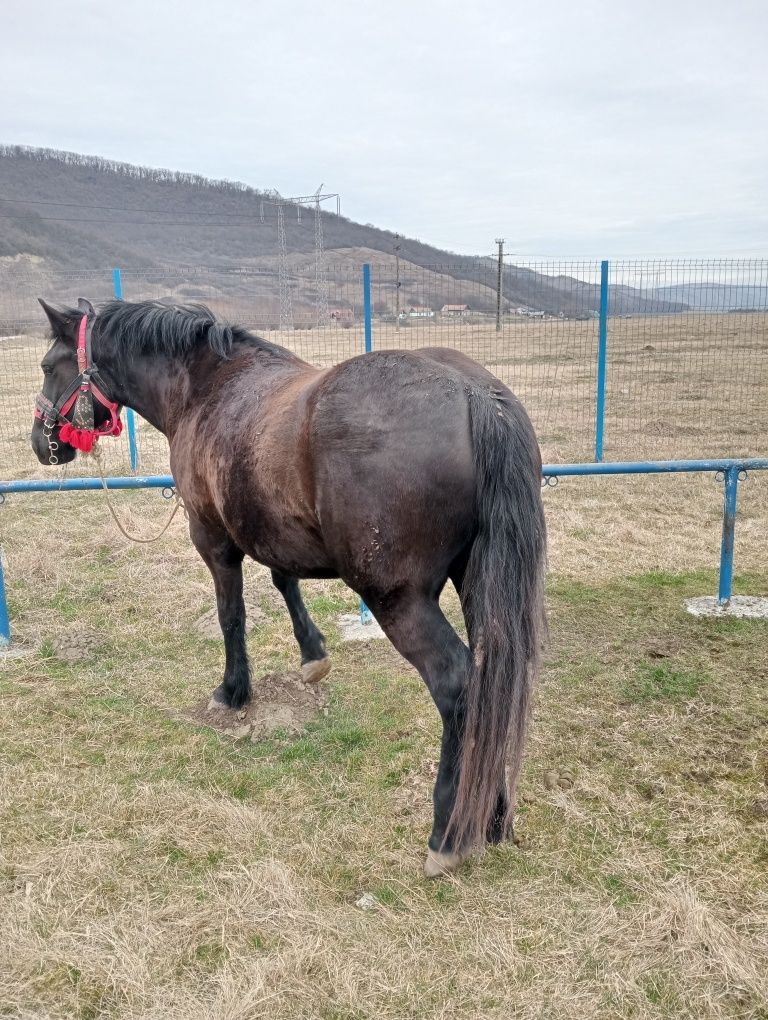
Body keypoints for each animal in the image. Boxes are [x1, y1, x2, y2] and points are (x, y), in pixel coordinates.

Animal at [31, 297, 546, 877]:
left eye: (49, 366)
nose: (40, 443)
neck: (207, 388)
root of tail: (477, 397)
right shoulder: (272, 529)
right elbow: (284, 580)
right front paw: (312, 655)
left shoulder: (213, 539)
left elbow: (230, 616)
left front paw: (233, 692)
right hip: (481, 589)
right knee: (496, 681)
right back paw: (495, 816)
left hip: (400, 601)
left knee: (458, 684)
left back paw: (448, 834)